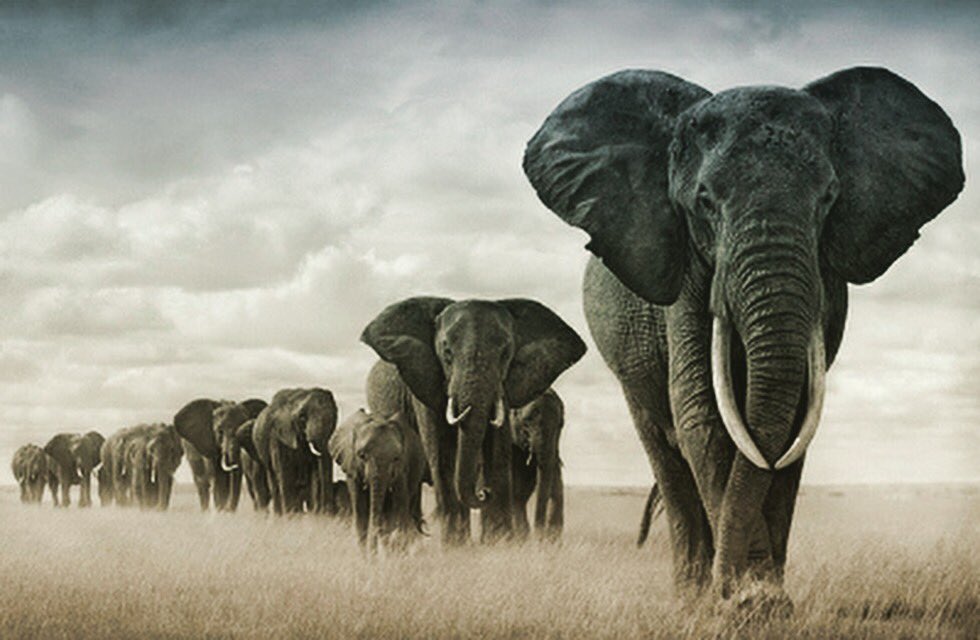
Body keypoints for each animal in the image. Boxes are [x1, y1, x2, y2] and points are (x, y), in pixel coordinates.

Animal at [329, 409, 427, 552]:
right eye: (362, 455)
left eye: (396, 458)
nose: (373, 554)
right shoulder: (351, 466)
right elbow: (360, 511)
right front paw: (365, 556)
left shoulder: (402, 469)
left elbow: (398, 509)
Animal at [522, 67, 963, 601]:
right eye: (705, 200)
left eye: (828, 199)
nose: (734, 589)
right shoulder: (687, 272)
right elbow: (703, 416)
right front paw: (745, 601)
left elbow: (794, 421)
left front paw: (763, 598)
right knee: (665, 452)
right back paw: (691, 594)